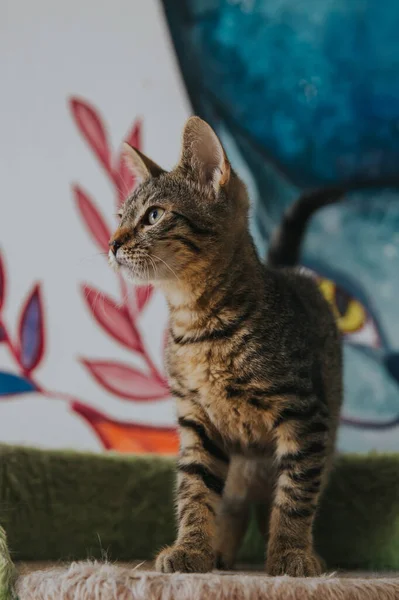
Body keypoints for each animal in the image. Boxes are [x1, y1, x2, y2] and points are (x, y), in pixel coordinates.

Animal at [109, 117, 344, 576]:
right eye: (120, 217)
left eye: (154, 215)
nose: (111, 243)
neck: (199, 327)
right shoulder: (197, 419)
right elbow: (195, 490)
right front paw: (192, 548)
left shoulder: (306, 414)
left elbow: (295, 494)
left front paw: (290, 553)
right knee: (233, 502)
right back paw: (220, 551)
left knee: (293, 489)